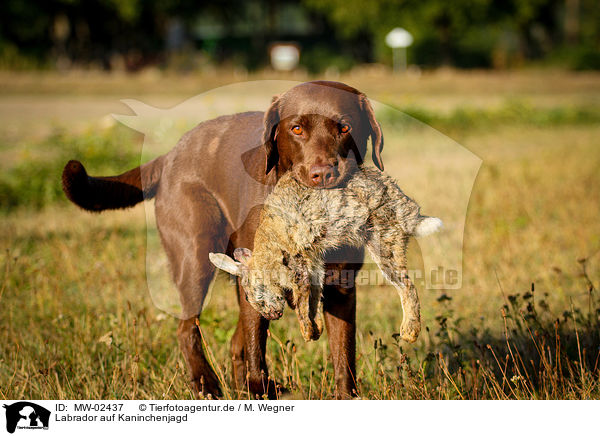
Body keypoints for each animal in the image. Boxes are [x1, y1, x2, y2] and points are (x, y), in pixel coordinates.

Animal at [62, 79, 384, 398]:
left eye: (345, 127)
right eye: (296, 129)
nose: (324, 174)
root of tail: (170, 156)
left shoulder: (341, 288)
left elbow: (344, 358)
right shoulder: (258, 282)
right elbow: (256, 351)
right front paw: (260, 389)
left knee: (233, 341)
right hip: (194, 254)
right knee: (188, 329)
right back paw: (207, 384)